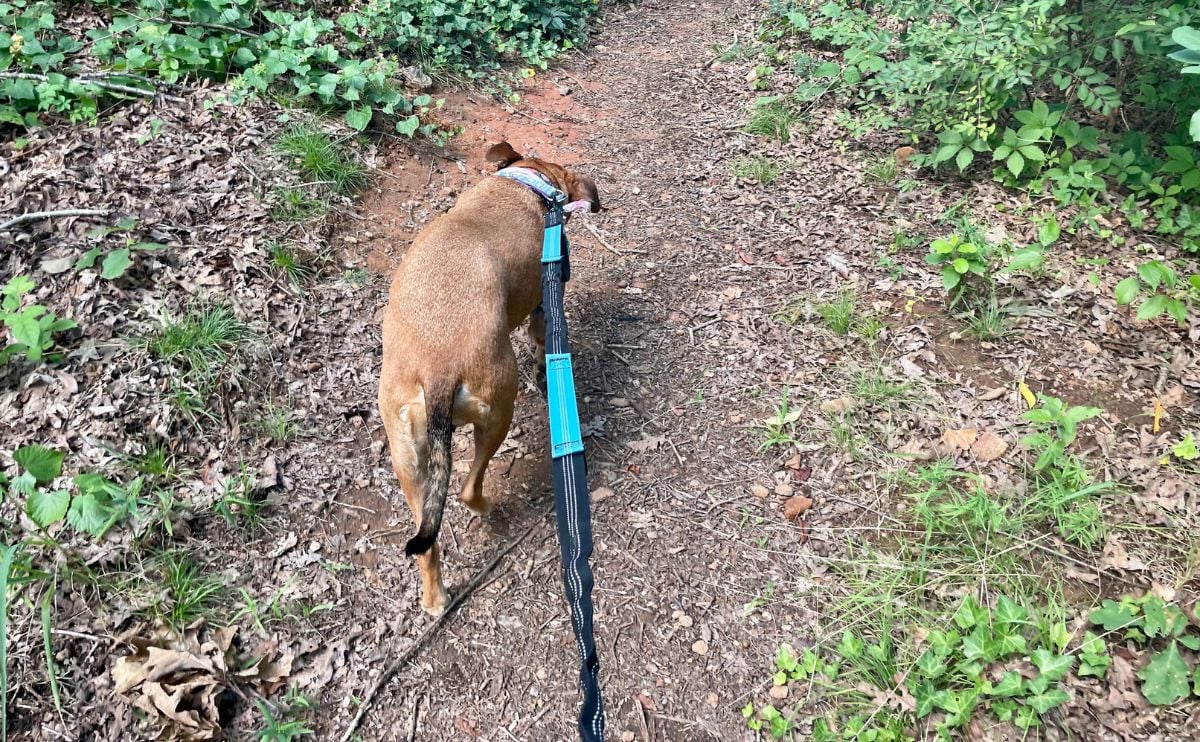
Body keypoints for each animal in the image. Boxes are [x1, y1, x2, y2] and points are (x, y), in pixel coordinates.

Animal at [379, 138, 600, 612]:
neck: (525, 184)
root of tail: (439, 368)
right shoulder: (544, 307)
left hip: (407, 455)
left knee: (427, 541)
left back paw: (435, 598)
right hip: (498, 409)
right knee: (467, 488)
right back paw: (486, 509)